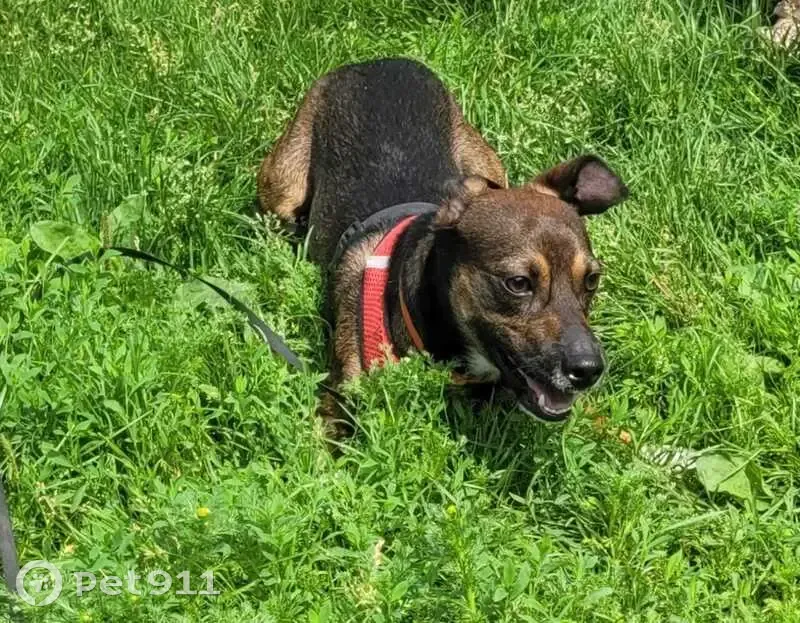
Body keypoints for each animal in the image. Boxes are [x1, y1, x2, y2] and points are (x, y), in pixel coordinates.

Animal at [257, 58, 628, 437]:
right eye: (518, 283)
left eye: (592, 280)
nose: (589, 370)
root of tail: (379, 61)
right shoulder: (337, 405)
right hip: (282, 189)